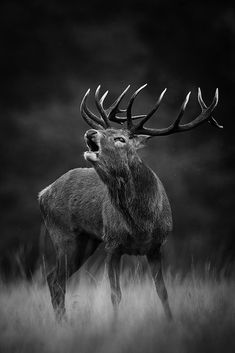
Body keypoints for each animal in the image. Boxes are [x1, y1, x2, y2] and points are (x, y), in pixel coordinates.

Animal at [37, 84, 221, 320]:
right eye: (105, 132)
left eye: (120, 139)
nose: (90, 132)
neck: (141, 224)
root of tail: (43, 193)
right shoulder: (112, 244)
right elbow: (116, 294)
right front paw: (115, 325)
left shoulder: (156, 246)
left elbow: (162, 291)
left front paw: (171, 321)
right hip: (64, 235)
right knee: (56, 279)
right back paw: (63, 322)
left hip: (87, 241)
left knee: (54, 277)